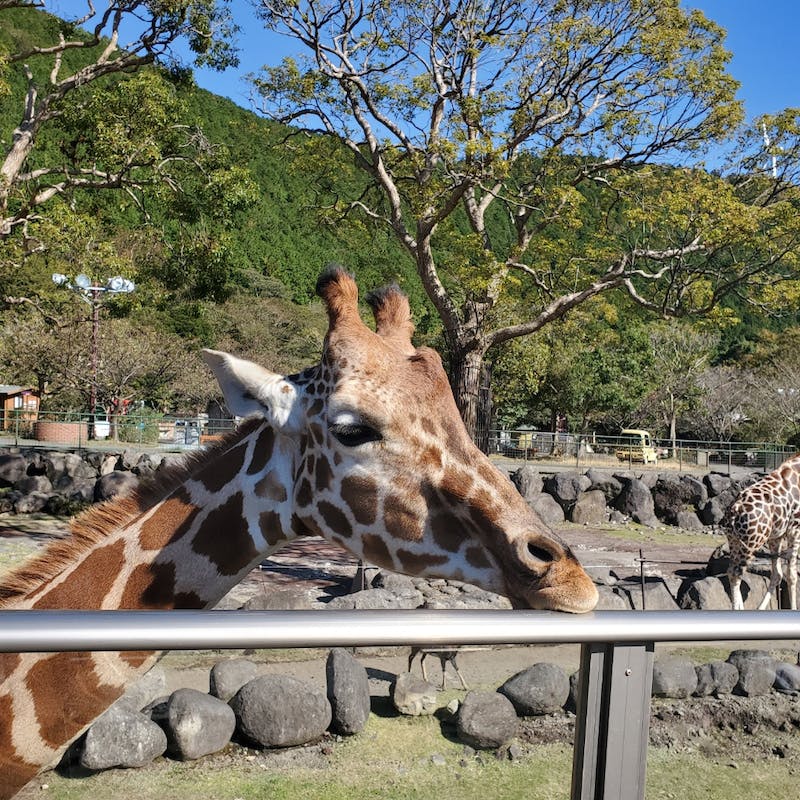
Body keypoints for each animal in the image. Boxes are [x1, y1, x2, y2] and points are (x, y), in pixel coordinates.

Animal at [720, 454, 800, 608]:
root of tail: (734, 510)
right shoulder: (795, 530)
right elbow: (792, 576)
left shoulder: (776, 536)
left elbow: (777, 575)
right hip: (751, 543)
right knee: (736, 573)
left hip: (734, 540)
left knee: (731, 571)